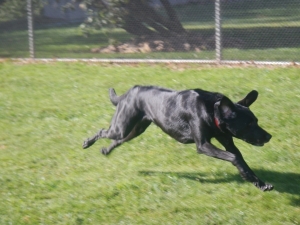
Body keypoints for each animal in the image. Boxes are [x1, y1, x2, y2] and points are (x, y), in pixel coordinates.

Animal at [83, 85, 274, 191]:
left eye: (256, 121)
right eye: (249, 124)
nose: (269, 136)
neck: (212, 110)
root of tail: (129, 92)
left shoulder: (227, 141)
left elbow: (241, 160)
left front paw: (260, 183)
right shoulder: (203, 145)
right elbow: (234, 157)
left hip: (134, 130)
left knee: (116, 140)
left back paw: (105, 151)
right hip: (121, 127)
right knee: (103, 131)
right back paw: (87, 142)